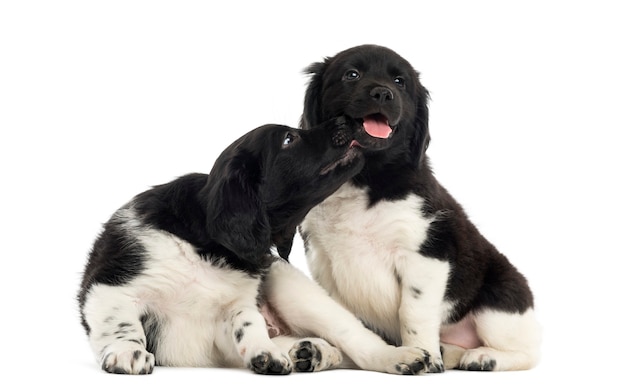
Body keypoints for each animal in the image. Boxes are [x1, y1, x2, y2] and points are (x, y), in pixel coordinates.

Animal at [77, 117, 428, 376]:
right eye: (288, 139)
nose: (347, 121)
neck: (210, 245)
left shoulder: (236, 305)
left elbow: (248, 322)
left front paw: (265, 352)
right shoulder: (109, 285)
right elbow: (121, 321)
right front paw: (128, 351)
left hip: (294, 287)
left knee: (357, 340)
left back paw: (395, 356)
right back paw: (311, 352)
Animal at [298, 45, 540, 374]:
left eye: (400, 82)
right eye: (352, 75)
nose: (383, 93)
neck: (366, 178)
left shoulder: (426, 254)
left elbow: (413, 311)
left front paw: (423, 355)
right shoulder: (322, 259)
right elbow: (341, 319)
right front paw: (328, 351)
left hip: (499, 301)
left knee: (528, 353)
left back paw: (484, 357)